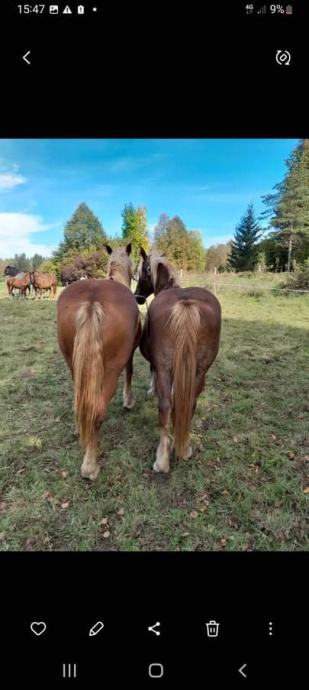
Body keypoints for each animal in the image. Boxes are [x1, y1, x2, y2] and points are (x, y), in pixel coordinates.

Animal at [56, 245, 141, 482]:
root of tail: (92, 302)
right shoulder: (129, 354)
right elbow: (130, 372)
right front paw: (128, 401)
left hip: (73, 365)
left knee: (80, 402)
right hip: (110, 372)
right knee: (97, 412)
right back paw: (90, 465)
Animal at [134, 251, 220, 472]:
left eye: (142, 272)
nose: (138, 297)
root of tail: (185, 303)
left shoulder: (157, 365)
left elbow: (152, 373)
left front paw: (151, 390)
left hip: (166, 370)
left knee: (165, 406)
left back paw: (162, 460)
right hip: (200, 372)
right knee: (190, 403)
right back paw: (184, 448)